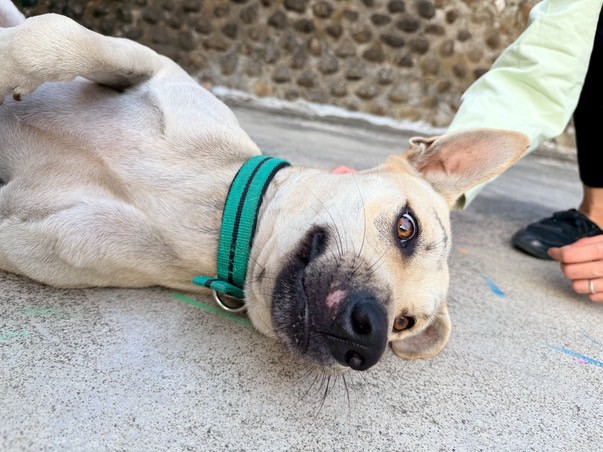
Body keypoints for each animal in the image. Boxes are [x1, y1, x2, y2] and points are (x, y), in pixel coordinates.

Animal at [0, 0, 529, 372]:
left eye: (404, 324)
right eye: (406, 227)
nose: (369, 339)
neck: (217, 214)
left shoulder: (36, 238)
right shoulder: (145, 63)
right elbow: (58, 32)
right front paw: (11, 61)